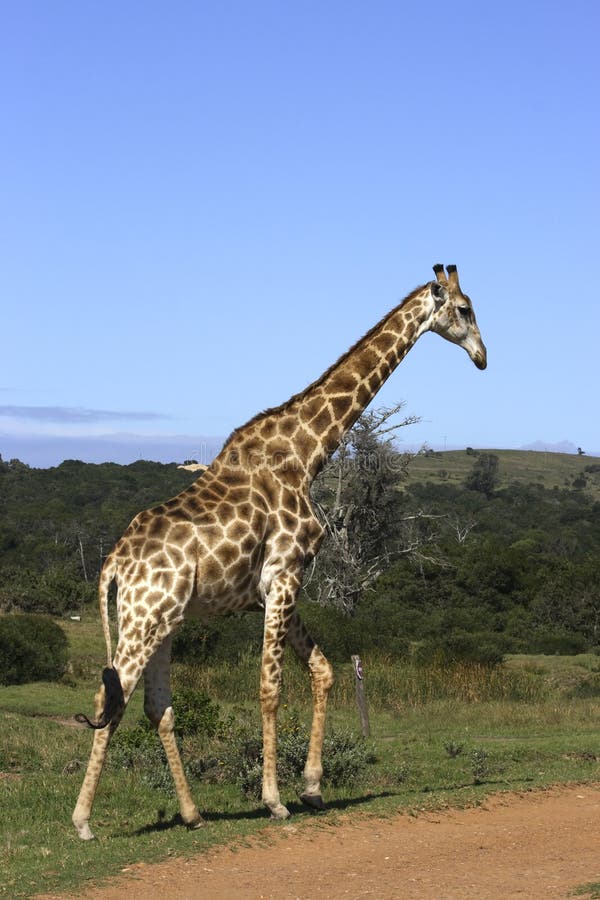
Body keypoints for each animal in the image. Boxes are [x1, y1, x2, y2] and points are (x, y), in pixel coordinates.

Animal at [72, 264, 486, 840]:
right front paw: (274, 800)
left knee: (157, 706)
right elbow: (270, 689)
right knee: (110, 696)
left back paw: (193, 814)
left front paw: (311, 788)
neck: (306, 453)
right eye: (466, 309)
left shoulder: (274, 589)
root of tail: (113, 563)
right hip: (142, 618)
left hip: (164, 622)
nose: (483, 356)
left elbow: (324, 671)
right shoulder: (284, 575)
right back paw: (83, 822)